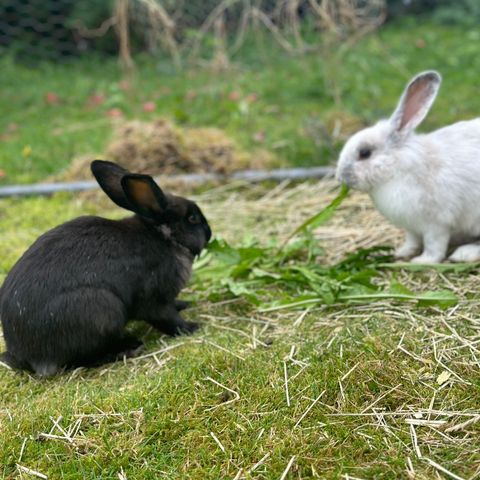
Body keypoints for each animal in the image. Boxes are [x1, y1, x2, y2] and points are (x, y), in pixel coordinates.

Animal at [0, 159, 211, 376]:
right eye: (192, 218)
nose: (209, 232)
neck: (165, 236)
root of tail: (25, 354)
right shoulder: (154, 300)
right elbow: (168, 319)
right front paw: (193, 327)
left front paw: (184, 304)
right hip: (102, 310)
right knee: (82, 358)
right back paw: (127, 348)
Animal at [336, 71, 480, 264]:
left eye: (365, 153)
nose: (340, 177)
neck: (397, 168)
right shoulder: (411, 227)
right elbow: (412, 241)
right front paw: (401, 253)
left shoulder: (436, 225)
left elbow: (434, 246)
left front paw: (422, 261)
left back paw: (463, 254)